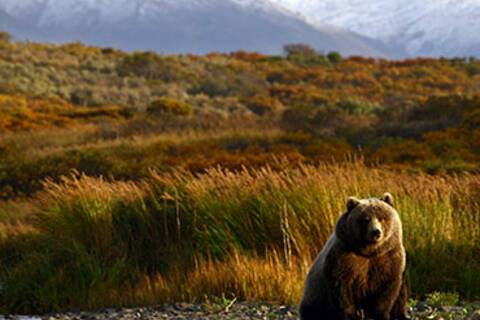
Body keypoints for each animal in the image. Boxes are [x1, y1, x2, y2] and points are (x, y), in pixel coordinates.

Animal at [300, 192, 408, 320]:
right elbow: (342, 287)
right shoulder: (344, 256)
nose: (376, 232)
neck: (369, 251)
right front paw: (351, 314)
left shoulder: (388, 256)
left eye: (381, 218)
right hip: (315, 295)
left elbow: (387, 288)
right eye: (366, 219)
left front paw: (381, 314)